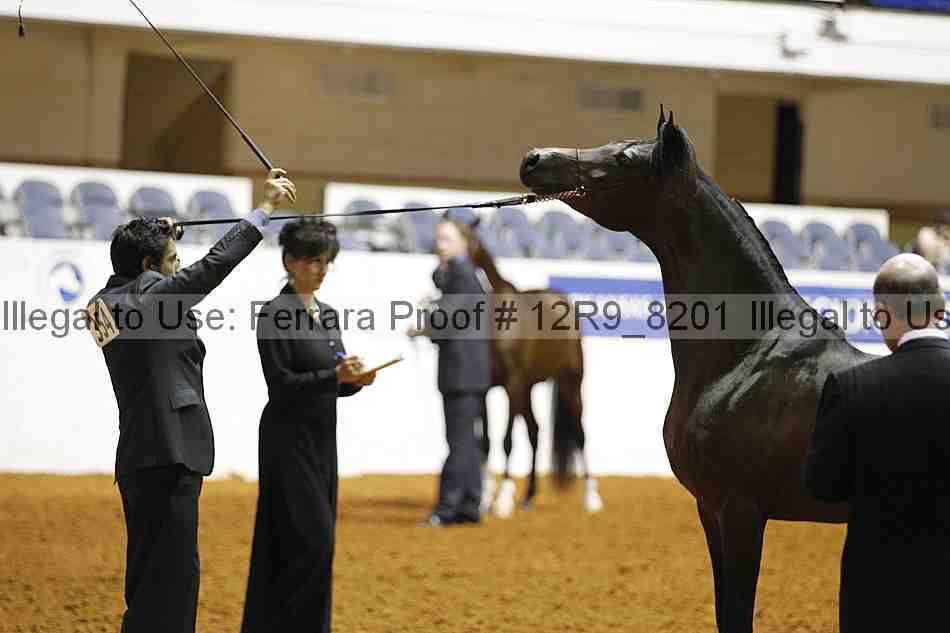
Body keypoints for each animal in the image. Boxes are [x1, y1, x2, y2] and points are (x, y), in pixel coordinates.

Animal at [457, 218, 604, 517]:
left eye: (470, 238)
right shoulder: (485, 389)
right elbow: (486, 442)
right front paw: (485, 500)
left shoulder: (511, 385)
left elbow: (506, 440)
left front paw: (502, 500)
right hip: (529, 387)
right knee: (536, 432)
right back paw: (528, 497)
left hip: (570, 384)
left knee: (580, 433)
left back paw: (591, 498)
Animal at [519, 108, 874, 632]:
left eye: (626, 158)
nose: (534, 158)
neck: (746, 358)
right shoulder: (710, 510)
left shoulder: (743, 512)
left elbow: (739, 615)